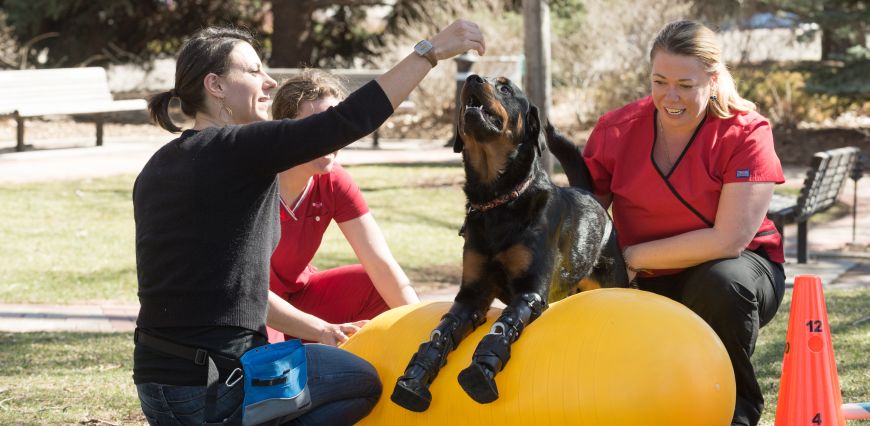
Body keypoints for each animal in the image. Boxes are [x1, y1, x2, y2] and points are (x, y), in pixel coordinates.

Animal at [392, 74, 632, 412]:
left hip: (612, 277)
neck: (498, 201)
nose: (472, 78)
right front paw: (416, 376)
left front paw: (481, 369)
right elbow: (441, 331)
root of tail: (589, 194)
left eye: (505, 88)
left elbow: (504, 325)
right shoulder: (471, 294)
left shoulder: (530, 291)